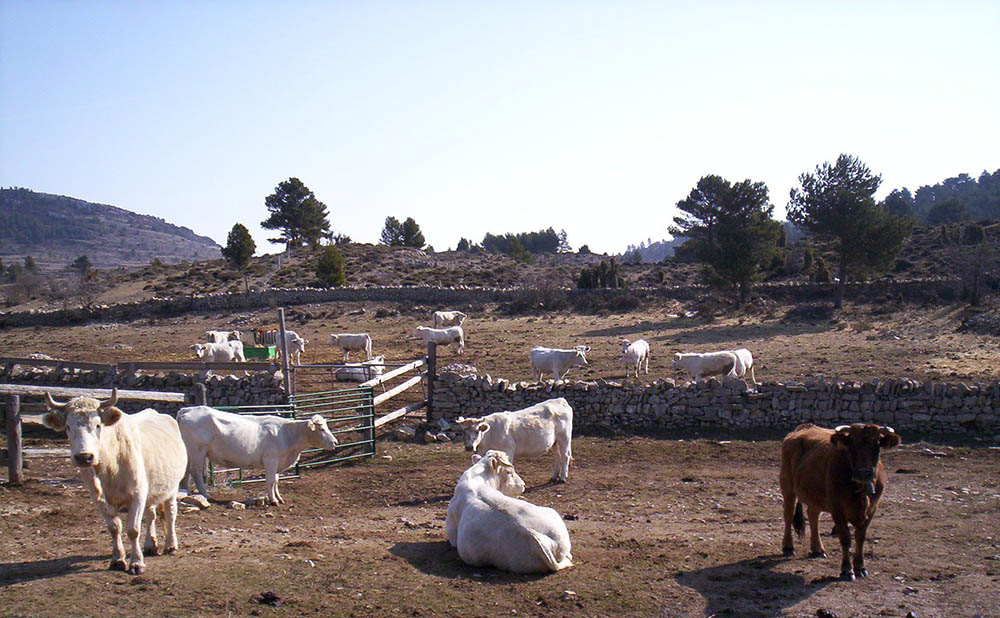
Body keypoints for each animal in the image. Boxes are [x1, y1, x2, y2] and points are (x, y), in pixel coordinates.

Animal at [40, 388, 188, 576]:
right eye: (68, 426)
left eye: (98, 425)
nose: (84, 457)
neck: (110, 464)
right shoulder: (99, 498)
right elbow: (114, 528)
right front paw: (118, 560)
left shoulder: (137, 494)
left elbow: (133, 529)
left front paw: (137, 563)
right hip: (152, 488)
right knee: (151, 515)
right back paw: (150, 545)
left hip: (172, 487)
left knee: (170, 513)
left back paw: (170, 545)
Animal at [177, 404, 340, 506]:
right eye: (322, 429)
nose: (335, 442)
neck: (287, 434)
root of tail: (187, 409)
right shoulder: (271, 460)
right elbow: (270, 481)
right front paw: (273, 500)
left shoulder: (277, 462)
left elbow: (276, 481)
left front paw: (279, 498)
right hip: (197, 450)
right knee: (196, 472)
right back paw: (206, 494)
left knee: (186, 471)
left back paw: (186, 492)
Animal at [776, 418, 904, 576]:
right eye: (851, 445)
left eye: (877, 445)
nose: (863, 473)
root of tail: (801, 429)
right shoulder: (837, 509)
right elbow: (845, 538)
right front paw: (847, 570)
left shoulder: (872, 509)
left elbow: (860, 537)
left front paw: (860, 567)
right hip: (788, 487)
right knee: (789, 514)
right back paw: (788, 547)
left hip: (815, 495)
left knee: (813, 516)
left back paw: (818, 549)